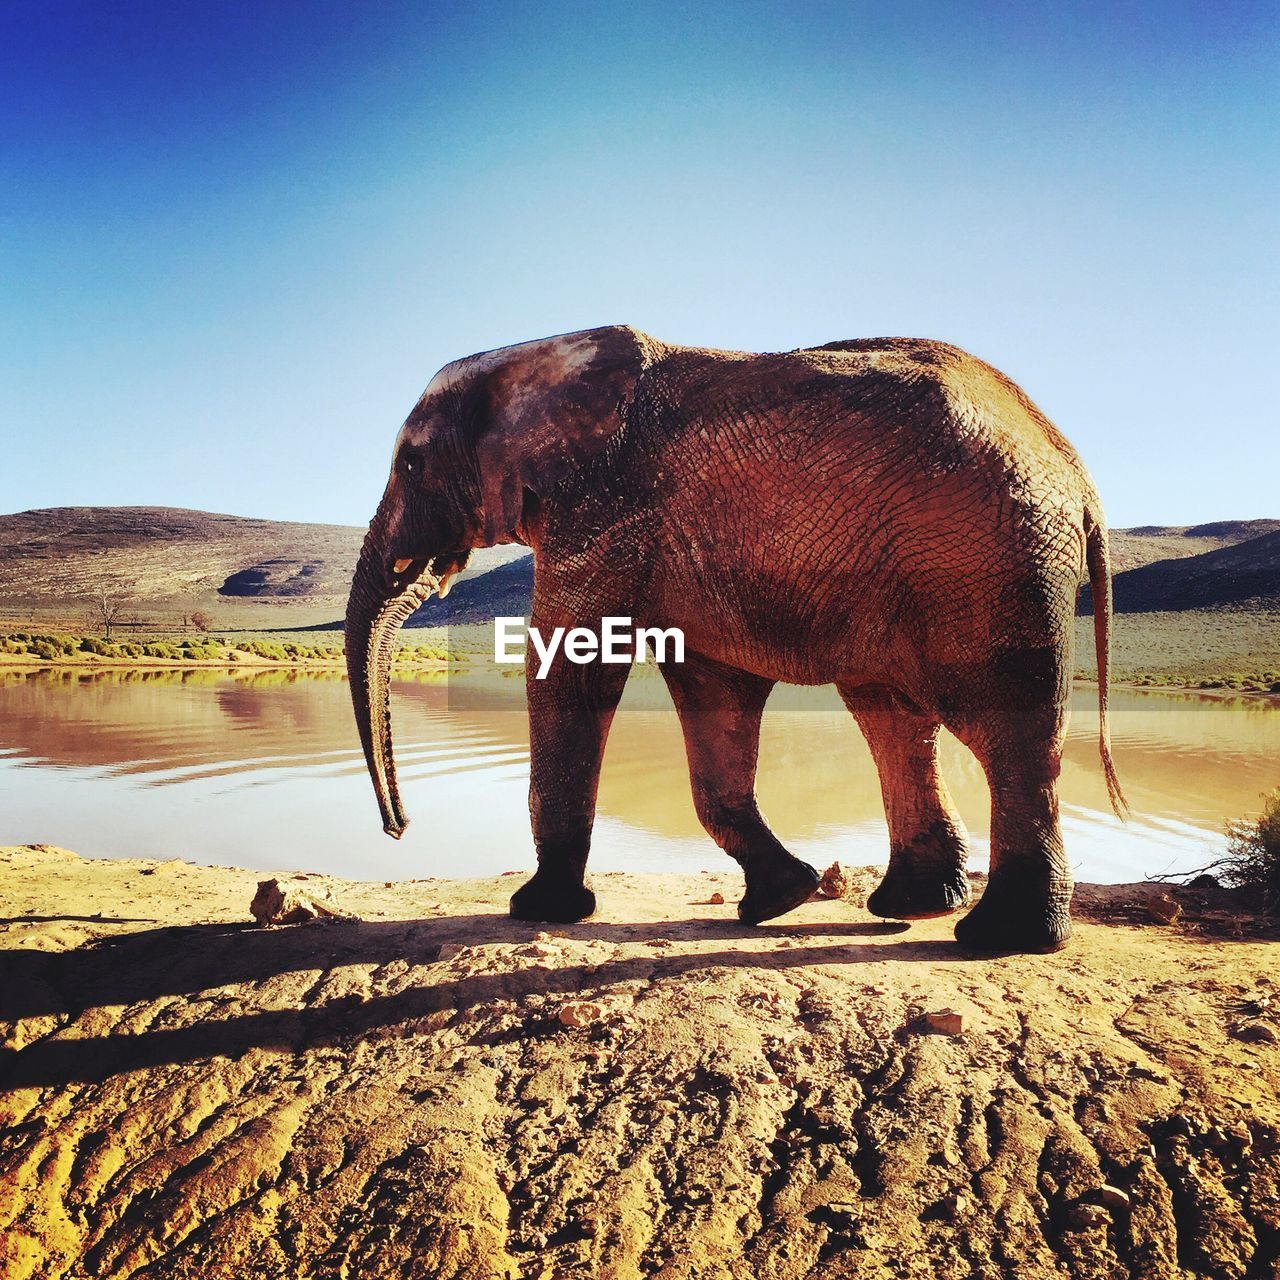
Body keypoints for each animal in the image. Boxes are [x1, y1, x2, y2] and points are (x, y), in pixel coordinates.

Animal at [345, 325, 1126, 957]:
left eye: (410, 464)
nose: (399, 828)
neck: (534, 355)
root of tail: (1076, 471)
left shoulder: (603, 512)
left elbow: (574, 669)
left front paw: (539, 911)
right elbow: (712, 693)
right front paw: (781, 898)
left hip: (985, 560)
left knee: (1002, 734)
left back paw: (1001, 938)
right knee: (895, 721)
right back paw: (916, 906)